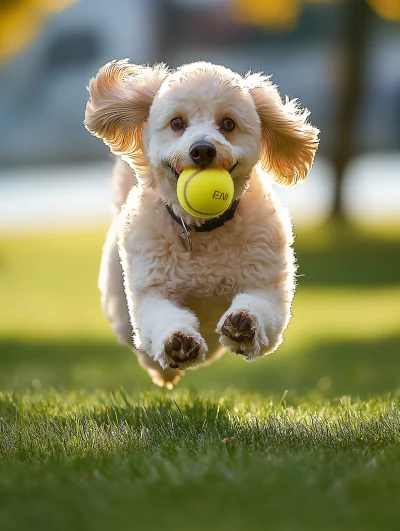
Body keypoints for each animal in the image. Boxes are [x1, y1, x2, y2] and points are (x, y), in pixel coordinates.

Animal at [83, 60, 318, 388]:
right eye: (177, 123)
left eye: (228, 124)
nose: (203, 149)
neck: (203, 230)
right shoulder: (152, 292)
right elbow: (162, 319)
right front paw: (178, 342)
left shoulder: (267, 286)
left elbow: (261, 308)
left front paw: (244, 325)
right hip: (121, 310)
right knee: (141, 345)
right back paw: (165, 370)